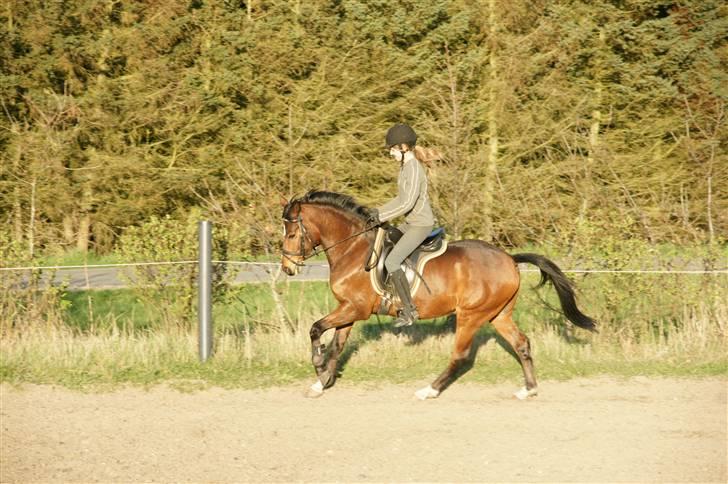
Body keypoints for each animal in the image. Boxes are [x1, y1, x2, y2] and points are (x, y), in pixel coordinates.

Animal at [281, 190, 596, 400]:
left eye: (292, 234)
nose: (287, 268)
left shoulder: (354, 308)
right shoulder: (348, 309)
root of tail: (509, 258)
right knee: (522, 344)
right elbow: (337, 346)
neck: (353, 249)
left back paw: (429, 390)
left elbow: (315, 329)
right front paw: (322, 381)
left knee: (460, 356)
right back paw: (528, 390)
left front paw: (318, 364)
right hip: (499, 314)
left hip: (471, 315)